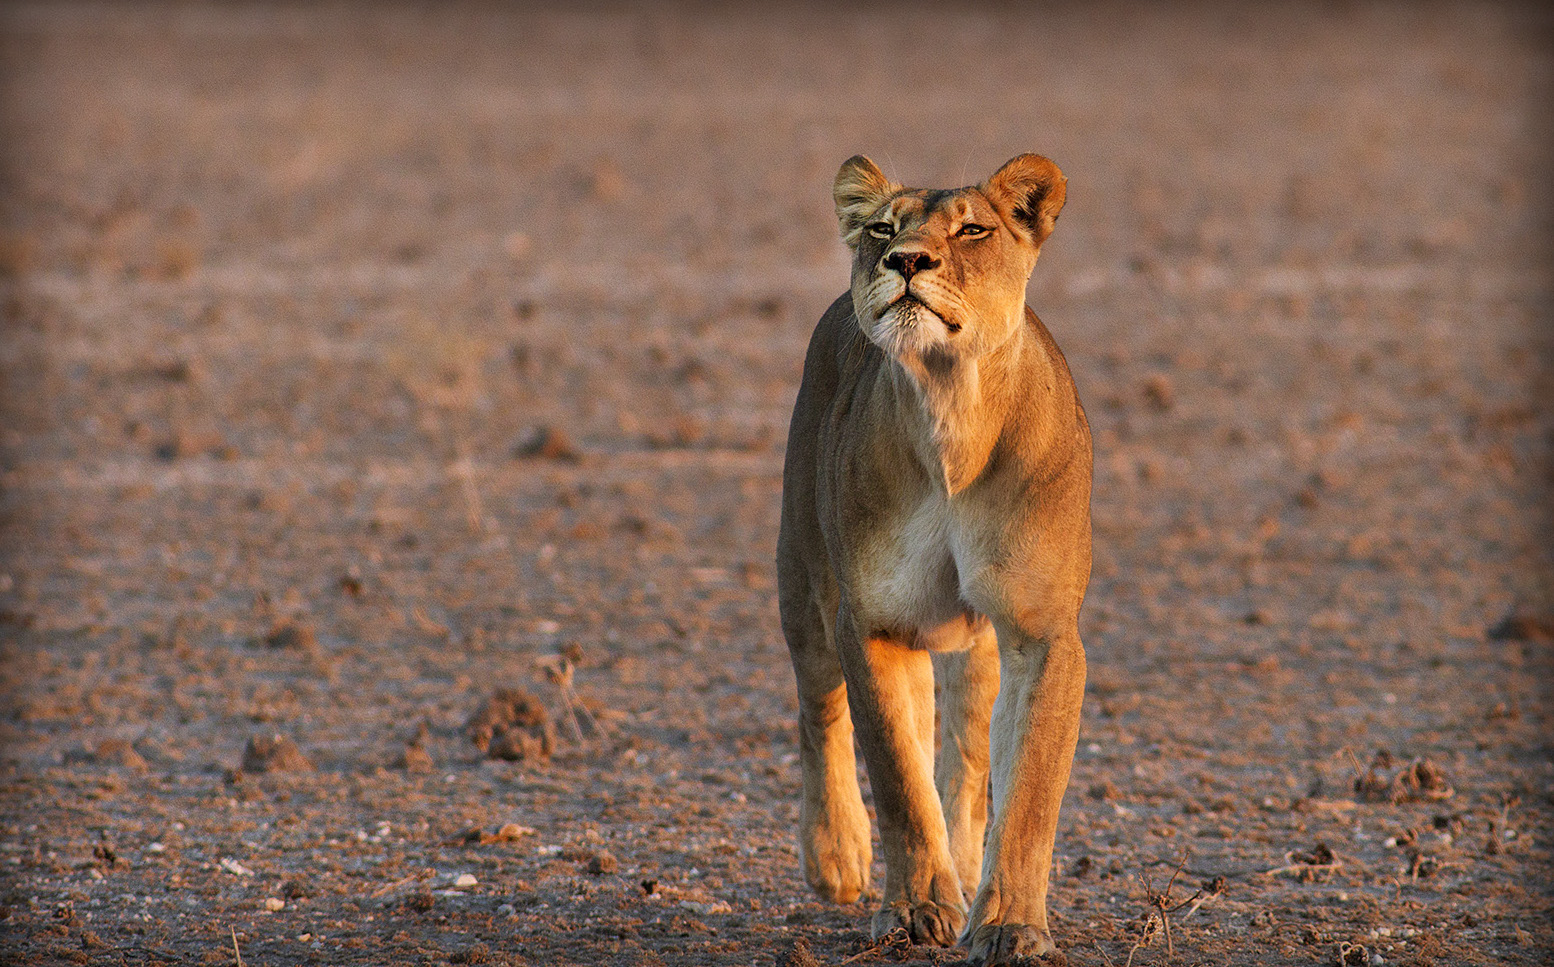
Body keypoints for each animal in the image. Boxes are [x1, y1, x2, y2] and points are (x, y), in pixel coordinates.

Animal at [777, 155, 1094, 963]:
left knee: (968, 755)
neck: (951, 405)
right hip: (802, 584)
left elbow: (1027, 792)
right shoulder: (875, 623)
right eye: (883, 229)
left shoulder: (1041, 631)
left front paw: (1009, 924)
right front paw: (918, 910)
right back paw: (837, 857)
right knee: (821, 711)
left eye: (973, 230)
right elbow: (897, 776)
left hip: (972, 642)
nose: (906, 260)